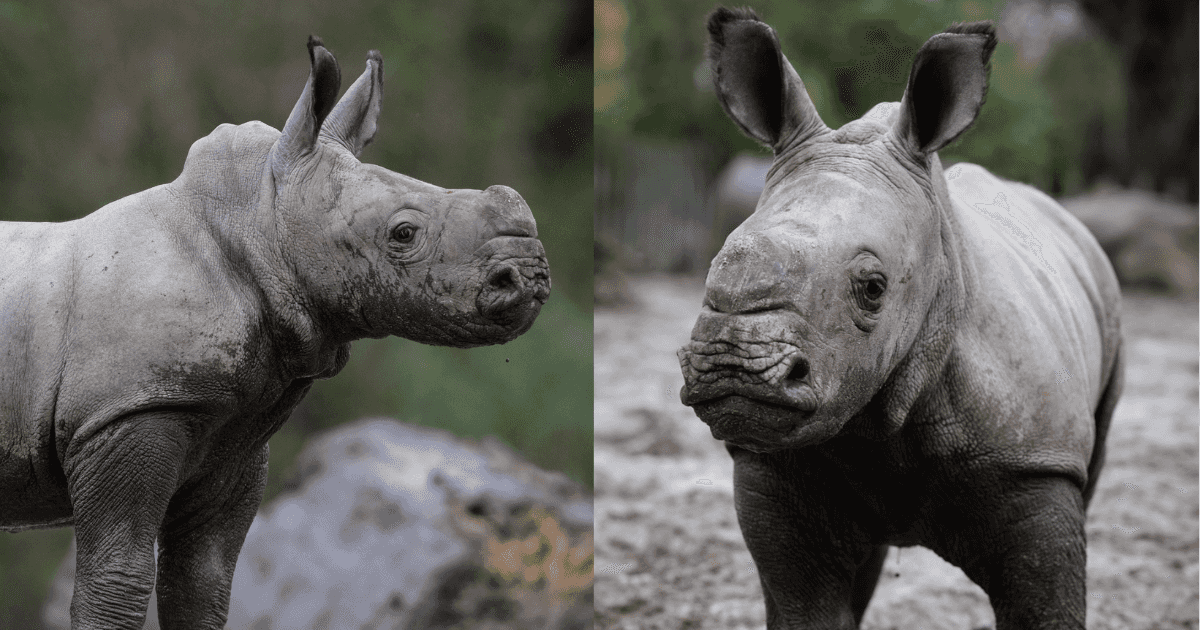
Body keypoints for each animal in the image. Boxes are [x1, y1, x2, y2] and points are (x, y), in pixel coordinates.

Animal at [0, 37, 549, 629]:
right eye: (403, 234)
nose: (531, 276)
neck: (257, 221)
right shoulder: (130, 407)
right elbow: (117, 581)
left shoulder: (232, 434)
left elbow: (201, 585)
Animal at [678, 9, 1122, 629]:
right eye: (717, 263)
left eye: (873, 289)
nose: (733, 367)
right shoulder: (775, 468)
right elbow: (806, 606)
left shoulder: (1036, 461)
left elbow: (1046, 603)